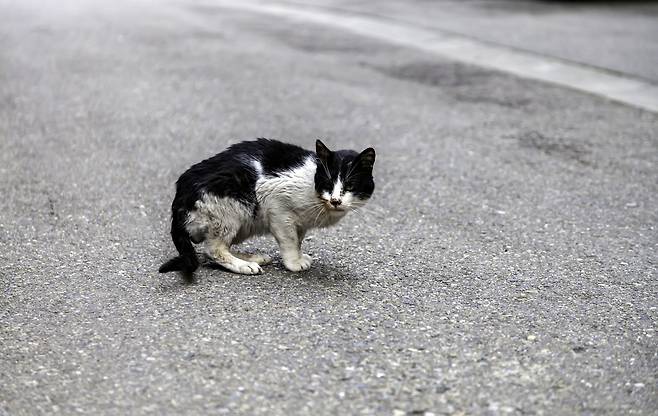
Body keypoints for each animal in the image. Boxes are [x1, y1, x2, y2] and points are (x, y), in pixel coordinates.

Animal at [158, 139, 374, 276]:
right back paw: (244, 266)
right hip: (232, 209)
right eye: (328, 183)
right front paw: (294, 262)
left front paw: (299, 254)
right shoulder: (277, 205)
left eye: (350, 186)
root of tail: (180, 196)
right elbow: (290, 240)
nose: (335, 200)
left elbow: (298, 239)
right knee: (213, 249)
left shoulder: (300, 223)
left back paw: (253, 258)